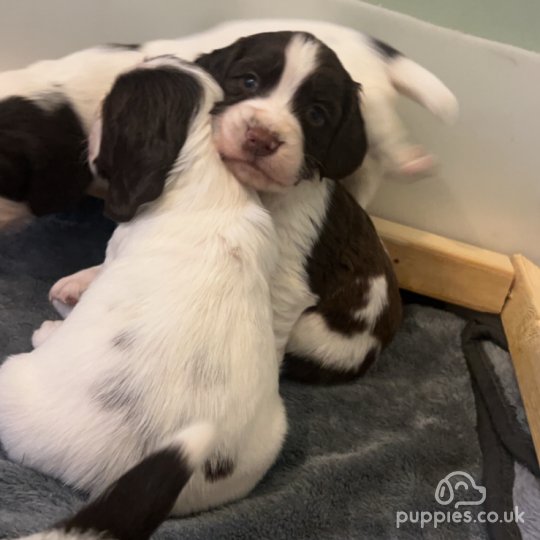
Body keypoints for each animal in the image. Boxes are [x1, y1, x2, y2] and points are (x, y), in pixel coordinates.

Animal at [0, 58, 288, 516]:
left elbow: (99, 269)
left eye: (111, 105)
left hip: (11, 378)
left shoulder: (117, 246)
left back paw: (48, 331)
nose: (89, 123)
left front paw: (69, 294)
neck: (201, 164)